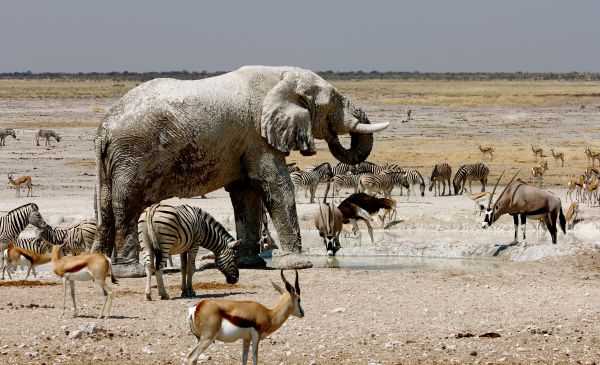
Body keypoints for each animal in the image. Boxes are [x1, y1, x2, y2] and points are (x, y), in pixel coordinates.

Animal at [91, 65, 386, 276]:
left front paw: (250, 262)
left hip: (112, 163)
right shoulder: (258, 135)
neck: (282, 76)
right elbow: (275, 184)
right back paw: (131, 273)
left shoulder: (246, 142)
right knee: (126, 206)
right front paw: (297, 264)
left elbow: (246, 194)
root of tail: (104, 130)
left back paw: (100, 265)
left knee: (106, 209)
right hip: (131, 155)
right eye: (334, 101)